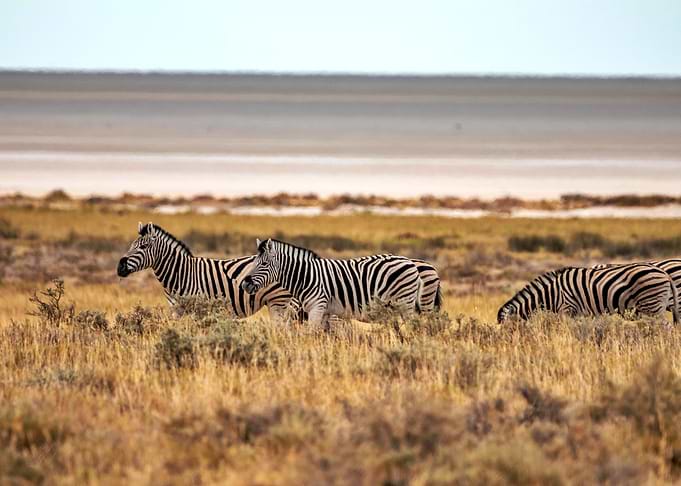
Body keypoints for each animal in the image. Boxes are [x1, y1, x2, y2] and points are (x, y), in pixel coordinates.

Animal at [117, 222, 302, 323]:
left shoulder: (198, 309)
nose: (120, 267)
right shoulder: (175, 310)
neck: (181, 273)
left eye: (143, 246)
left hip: (278, 302)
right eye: (132, 245)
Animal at [240, 238, 423, 327]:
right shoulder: (325, 312)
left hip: (405, 303)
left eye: (264, 264)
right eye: (253, 262)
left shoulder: (317, 307)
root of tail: (409, 262)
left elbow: (310, 334)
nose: (244, 284)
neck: (305, 277)